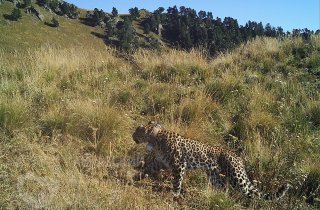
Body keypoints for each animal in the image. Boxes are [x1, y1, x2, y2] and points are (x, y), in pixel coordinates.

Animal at [131, 120, 292, 199]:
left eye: (137, 130)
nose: (132, 135)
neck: (155, 139)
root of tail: (238, 157)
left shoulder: (179, 165)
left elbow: (177, 181)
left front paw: (175, 194)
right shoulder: (159, 162)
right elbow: (147, 168)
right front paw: (134, 177)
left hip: (236, 176)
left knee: (249, 191)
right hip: (213, 174)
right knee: (221, 187)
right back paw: (217, 196)